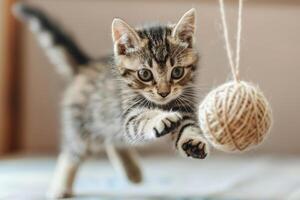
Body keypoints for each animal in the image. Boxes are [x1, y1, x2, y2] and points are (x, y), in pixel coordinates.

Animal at [14, 3, 210, 198]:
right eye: (145, 74)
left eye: (177, 72)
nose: (164, 92)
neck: (161, 104)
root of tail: (86, 66)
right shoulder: (129, 115)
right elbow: (141, 120)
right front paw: (160, 118)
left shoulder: (185, 109)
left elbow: (188, 127)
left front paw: (193, 141)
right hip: (82, 126)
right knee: (71, 151)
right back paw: (60, 187)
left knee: (112, 140)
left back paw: (132, 171)